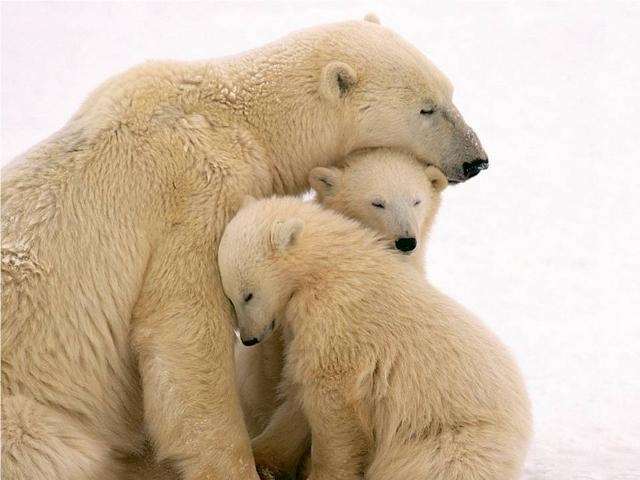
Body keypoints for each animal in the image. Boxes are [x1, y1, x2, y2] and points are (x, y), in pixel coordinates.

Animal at [1, 15, 484, 480]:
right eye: (426, 108)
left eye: (450, 92)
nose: (477, 160)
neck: (240, 117)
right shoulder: (200, 190)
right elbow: (184, 326)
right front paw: (238, 465)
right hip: (29, 410)